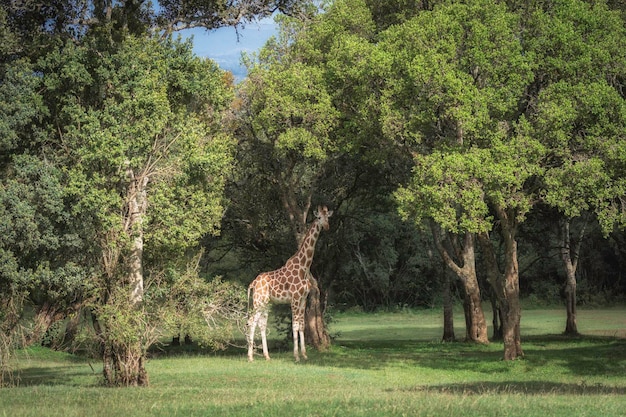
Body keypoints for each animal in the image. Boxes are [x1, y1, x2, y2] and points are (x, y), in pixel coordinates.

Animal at [246, 205, 332, 360]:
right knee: (252, 321)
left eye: (327, 216)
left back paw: (267, 356)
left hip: (266, 303)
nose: (327, 226)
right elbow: (295, 325)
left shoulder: (303, 299)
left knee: (261, 323)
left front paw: (304, 355)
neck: (304, 267)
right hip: (258, 301)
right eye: (318, 217)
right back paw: (250, 357)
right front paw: (296, 356)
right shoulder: (294, 299)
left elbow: (302, 325)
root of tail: (253, 283)